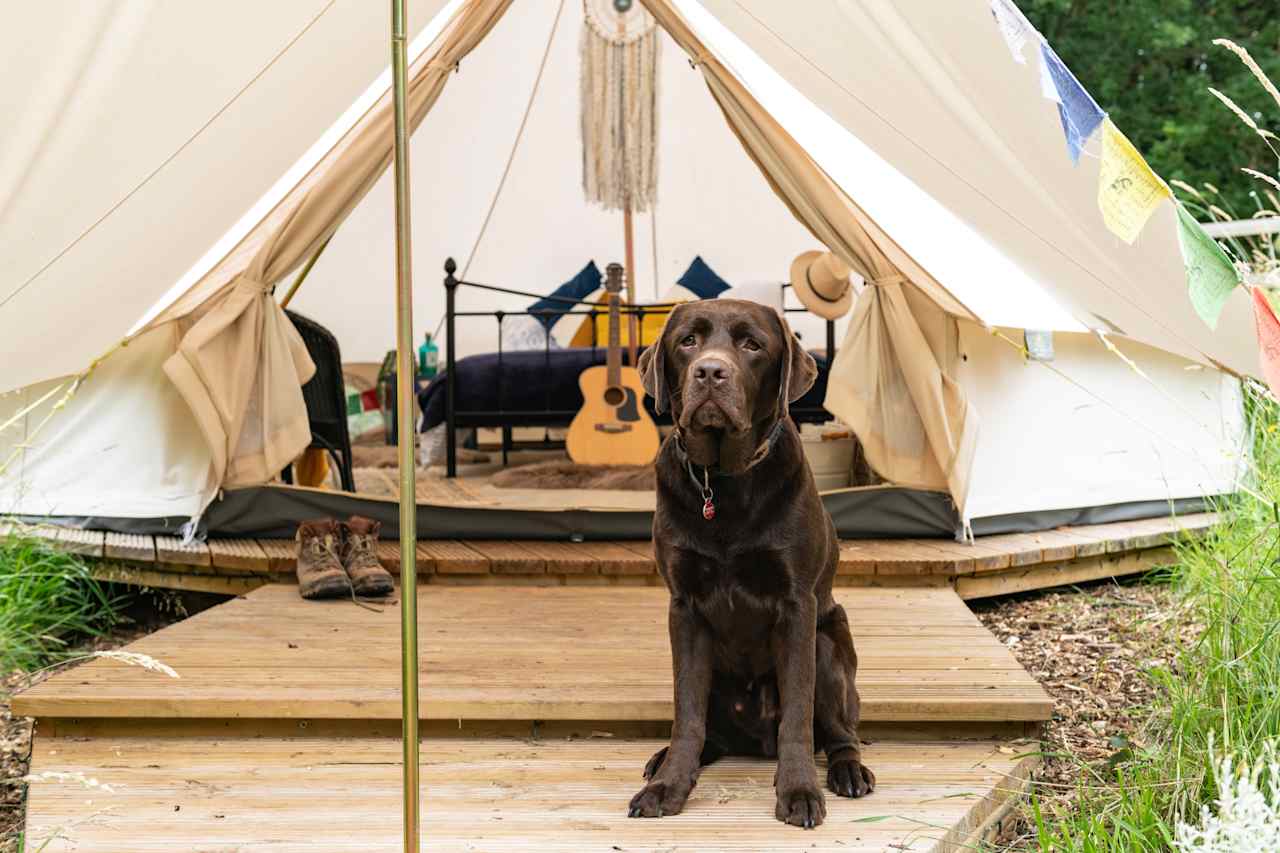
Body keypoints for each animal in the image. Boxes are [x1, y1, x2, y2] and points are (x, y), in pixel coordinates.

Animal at [627, 297, 875, 824]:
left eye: (752, 345)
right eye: (687, 341)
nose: (709, 372)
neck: (723, 482)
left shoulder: (797, 604)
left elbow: (798, 717)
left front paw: (799, 790)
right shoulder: (684, 608)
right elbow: (687, 715)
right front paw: (667, 786)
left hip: (830, 645)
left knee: (840, 732)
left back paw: (848, 771)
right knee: (707, 729)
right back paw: (664, 760)